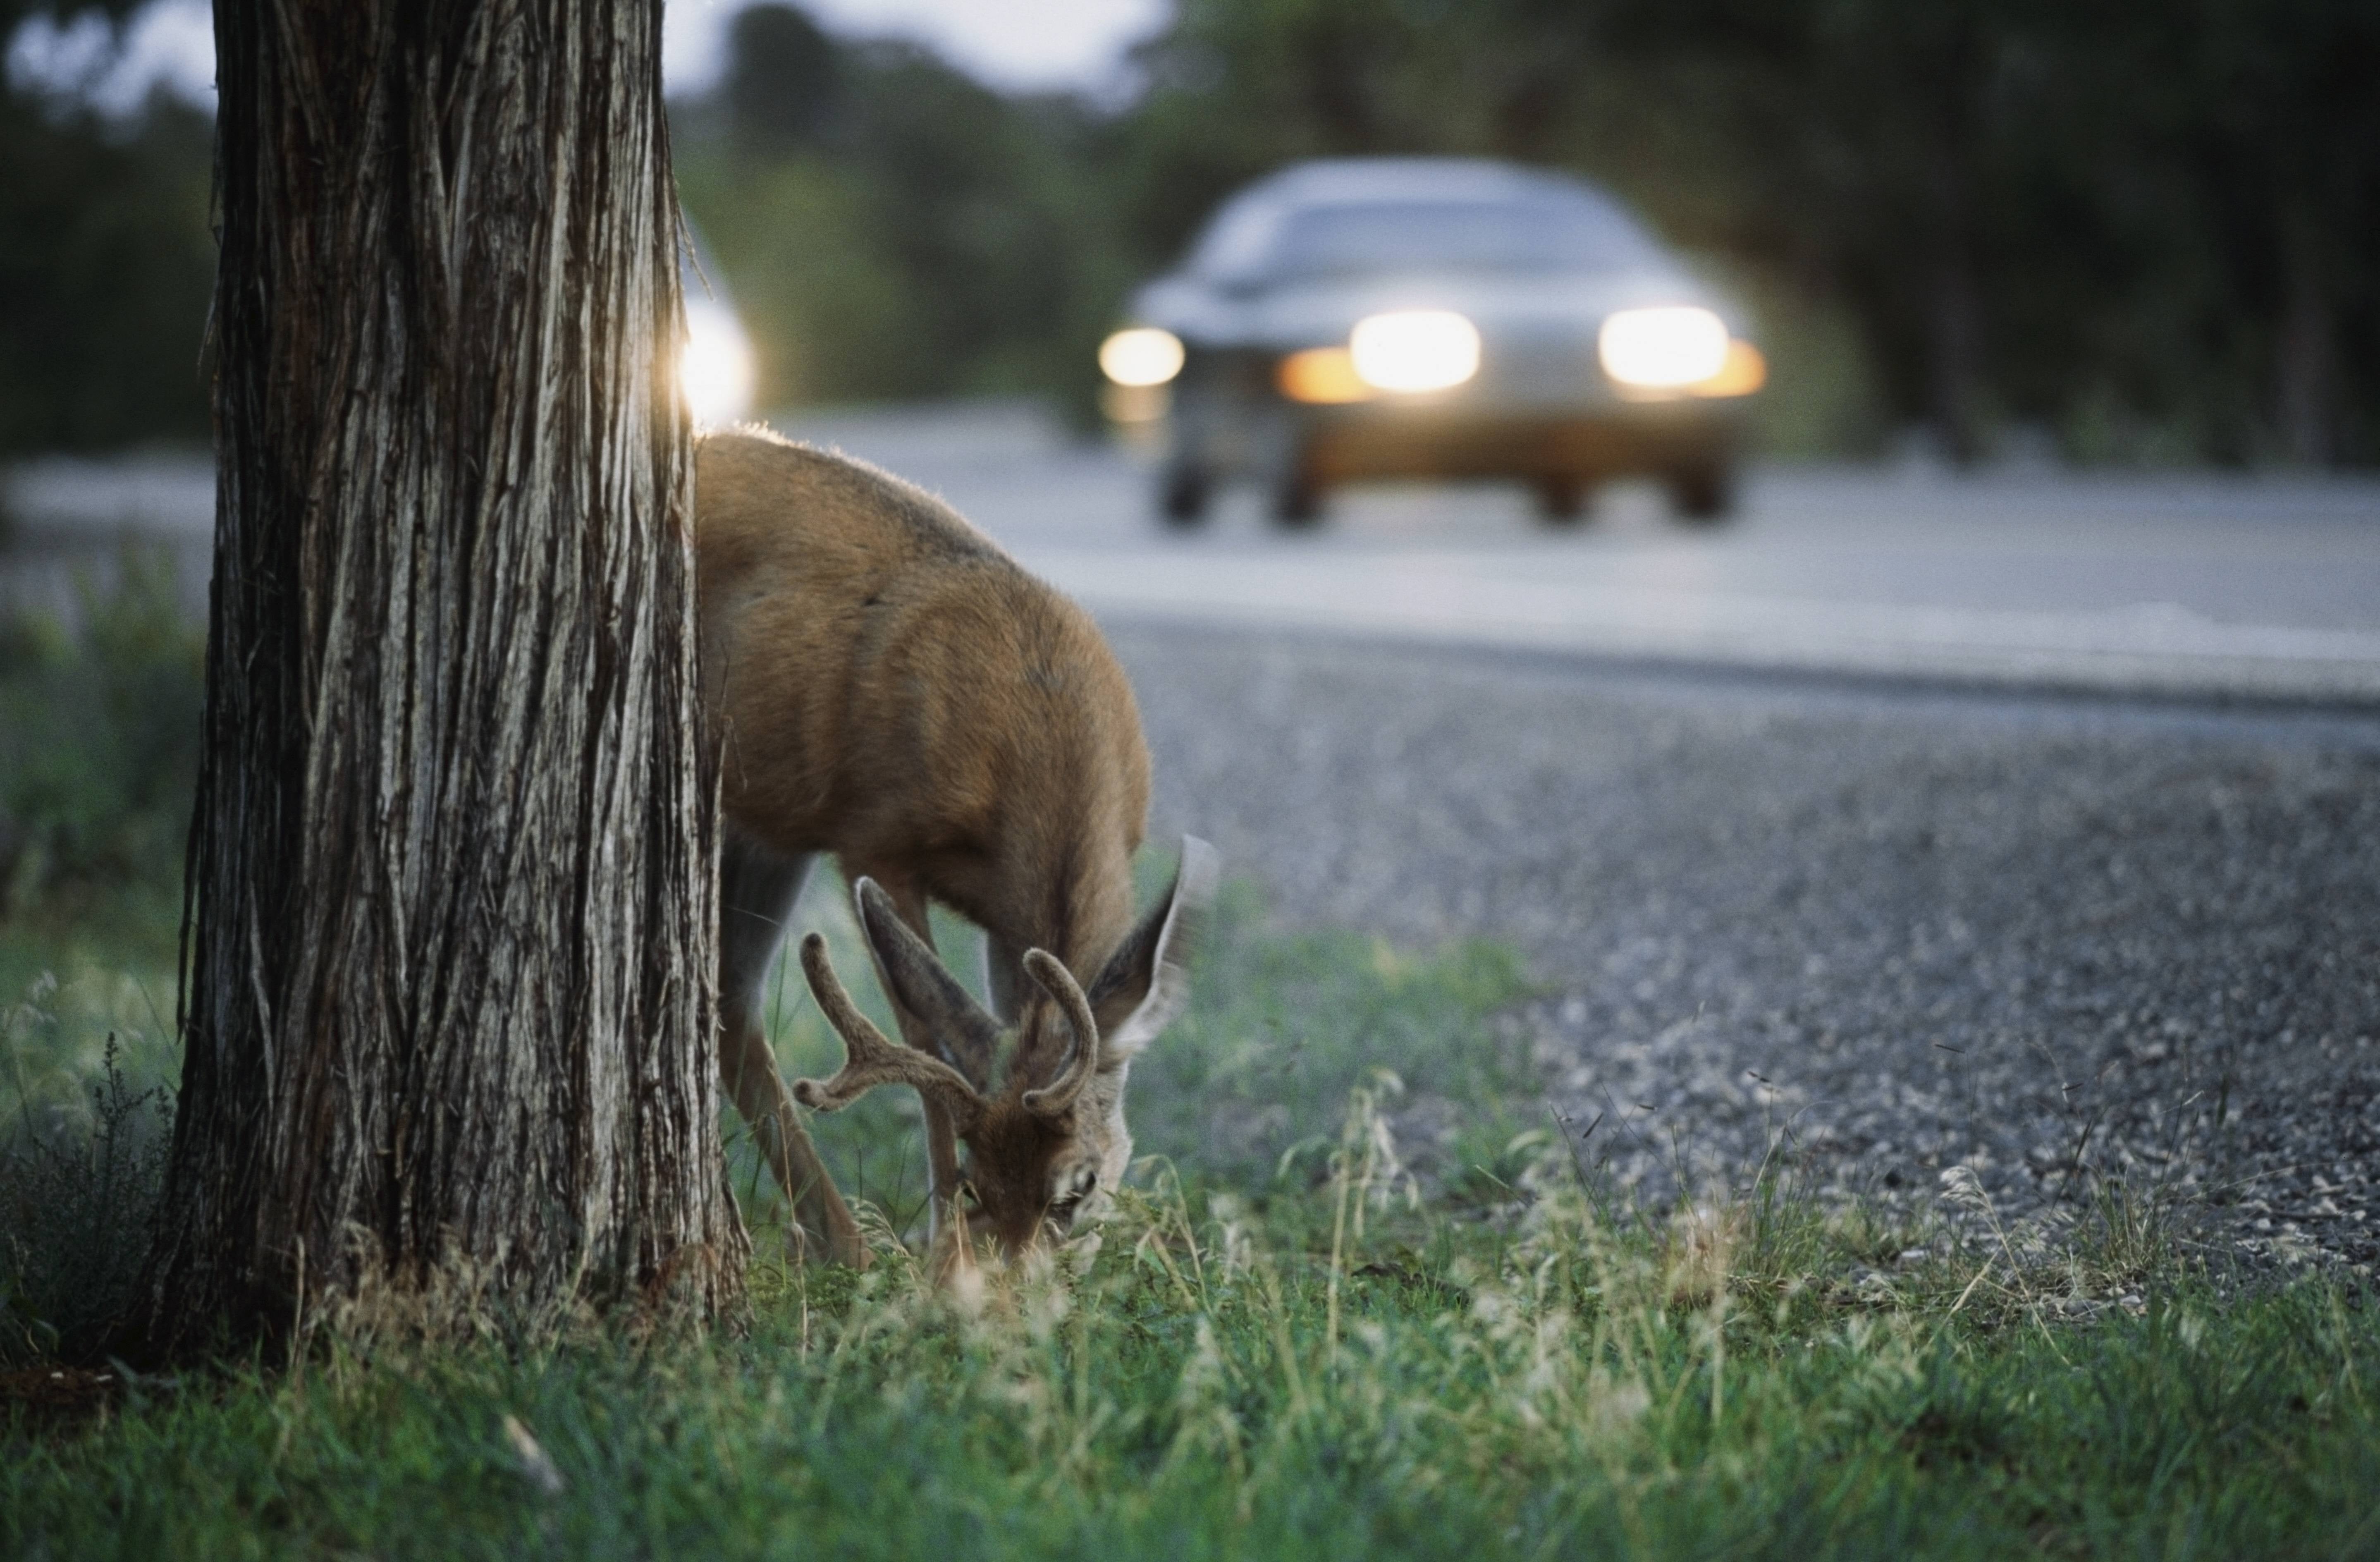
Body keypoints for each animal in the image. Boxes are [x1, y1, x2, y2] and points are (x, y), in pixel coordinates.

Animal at [690, 423, 1209, 1267]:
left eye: (1081, 1186)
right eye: (974, 1183)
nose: (1020, 1284)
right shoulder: (874, 837)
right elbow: (926, 1039)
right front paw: (941, 1249)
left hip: (770, 821)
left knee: (731, 994)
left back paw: (842, 1245)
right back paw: (849, 1245)